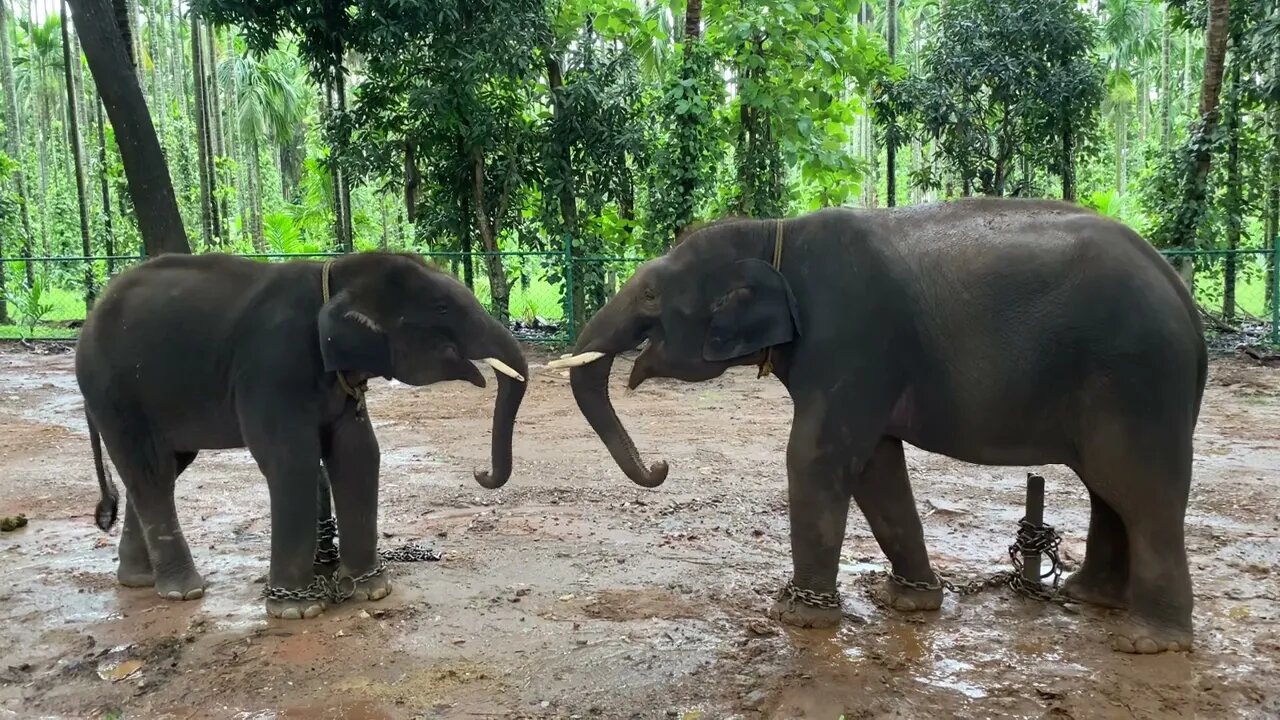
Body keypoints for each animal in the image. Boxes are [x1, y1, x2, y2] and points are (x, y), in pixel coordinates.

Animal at [76, 251, 529, 617]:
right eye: (442, 307)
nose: (480, 473)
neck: (335, 273)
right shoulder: (273, 365)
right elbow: (293, 459)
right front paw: (299, 610)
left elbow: (358, 453)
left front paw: (370, 590)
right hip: (114, 394)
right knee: (149, 470)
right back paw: (183, 592)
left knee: (162, 468)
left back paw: (138, 580)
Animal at [552, 196, 1208, 650]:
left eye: (652, 295)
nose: (660, 465)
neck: (774, 231)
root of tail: (1182, 294)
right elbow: (875, 465)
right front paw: (909, 603)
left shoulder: (851, 340)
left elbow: (816, 456)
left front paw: (797, 617)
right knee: (1109, 489)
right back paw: (1087, 598)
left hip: (1137, 379)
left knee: (1140, 490)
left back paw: (1149, 640)